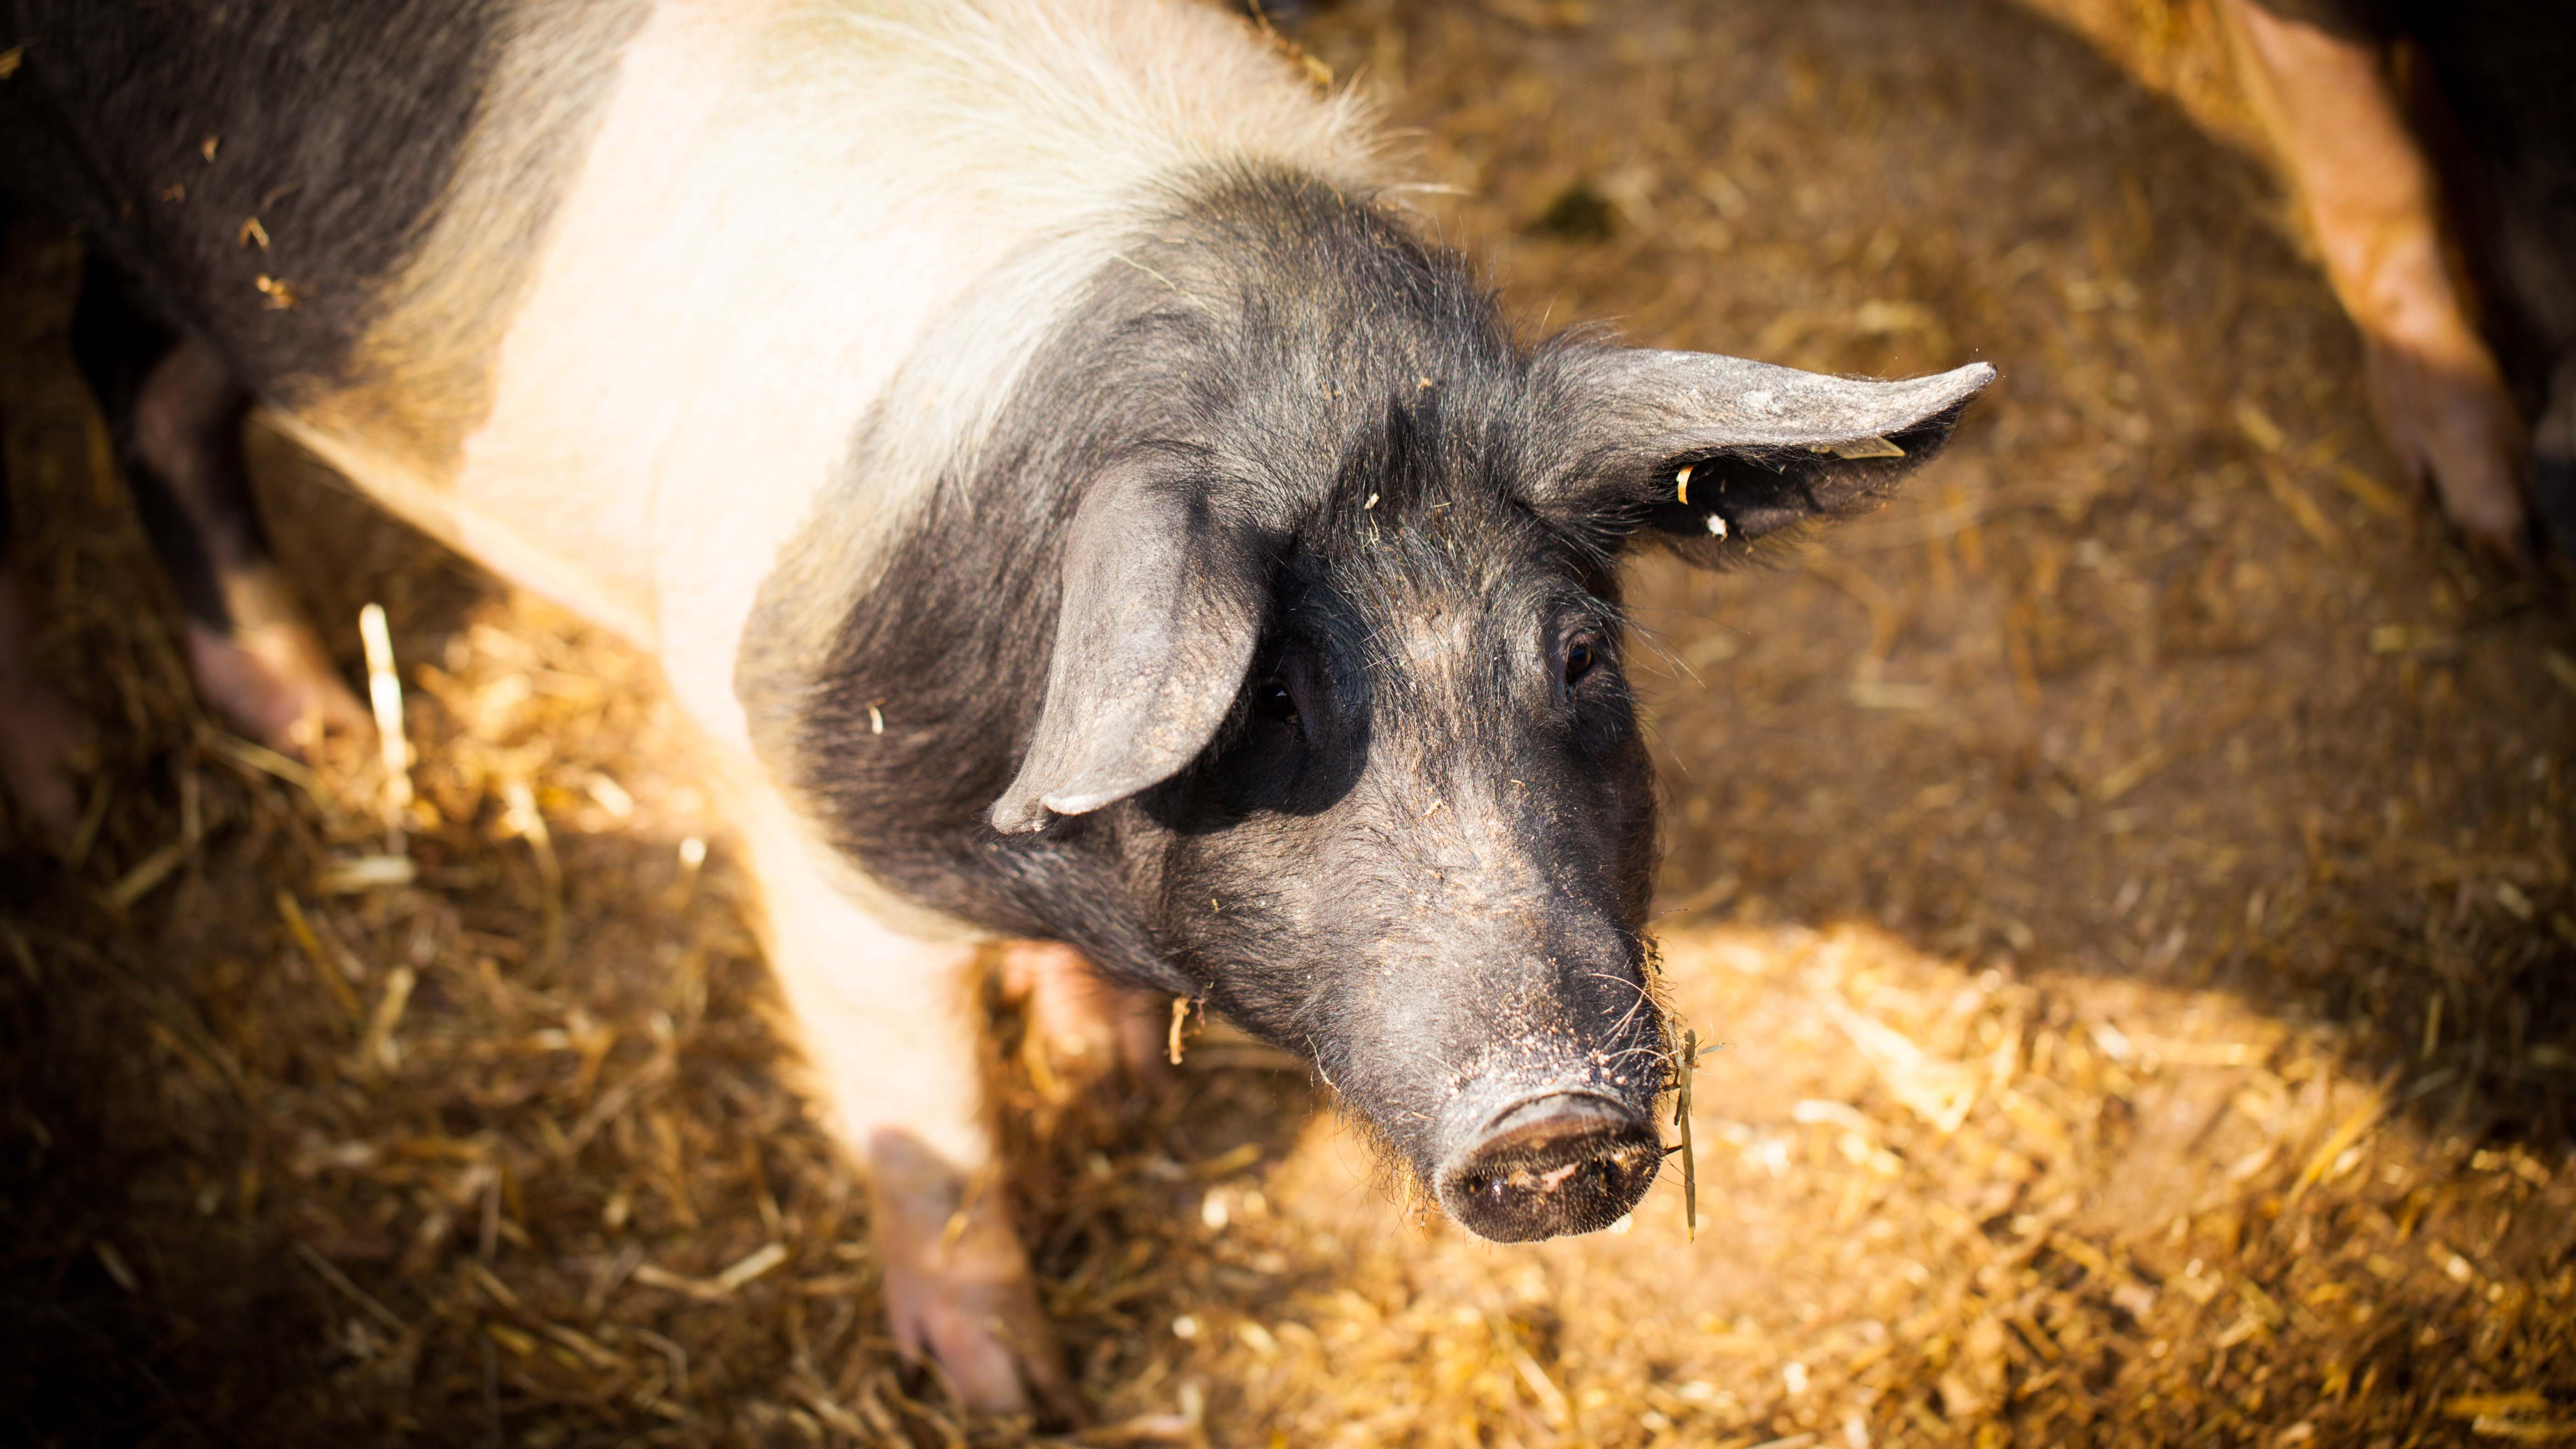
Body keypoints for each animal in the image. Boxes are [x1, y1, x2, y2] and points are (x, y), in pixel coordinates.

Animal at [0, 0, 1999, 1421]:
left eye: (1580, 656)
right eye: (1271, 695)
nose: (1556, 1119)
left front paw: (1104, 1073)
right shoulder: (797, 813)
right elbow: (932, 1127)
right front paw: (1011, 1392)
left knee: (136, 365)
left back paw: (310, 734)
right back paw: (91, 786)